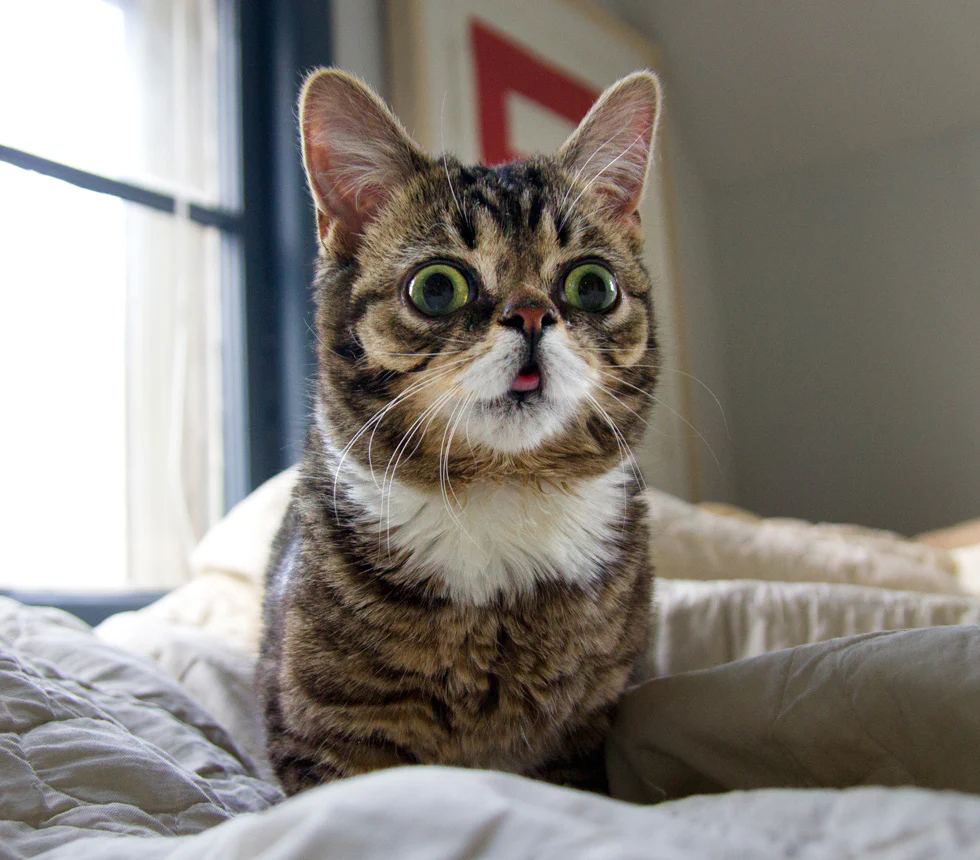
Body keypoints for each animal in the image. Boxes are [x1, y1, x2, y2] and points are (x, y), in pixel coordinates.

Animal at [256, 69, 664, 800]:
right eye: (437, 288)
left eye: (592, 285)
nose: (532, 314)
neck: (499, 494)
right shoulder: (325, 733)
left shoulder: (584, 733)